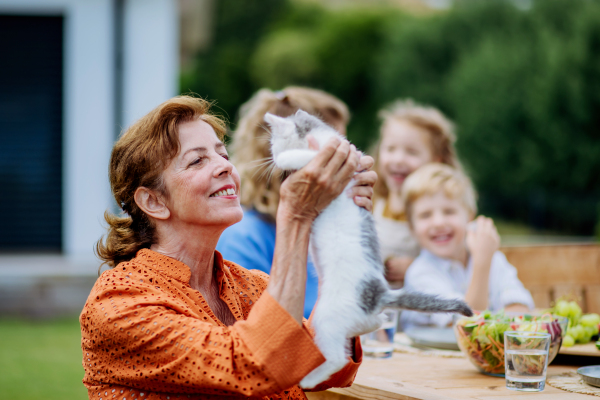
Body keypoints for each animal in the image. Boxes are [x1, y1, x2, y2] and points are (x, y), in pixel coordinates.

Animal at [264, 110, 472, 390]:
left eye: (274, 144)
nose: (272, 156)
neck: (321, 138)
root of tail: (380, 295)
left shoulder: (330, 161)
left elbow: (306, 157)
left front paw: (285, 159)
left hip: (329, 315)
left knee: (338, 358)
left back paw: (308, 380)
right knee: (370, 326)